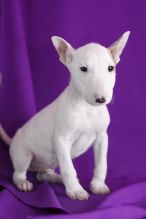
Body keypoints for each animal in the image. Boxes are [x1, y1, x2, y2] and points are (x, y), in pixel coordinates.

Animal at [0, 31, 130, 200]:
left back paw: (56, 177)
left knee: (42, 175)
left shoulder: (102, 138)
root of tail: (13, 140)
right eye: (83, 69)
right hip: (23, 154)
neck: (87, 108)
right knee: (18, 173)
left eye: (110, 68)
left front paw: (98, 186)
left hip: (46, 164)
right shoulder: (62, 140)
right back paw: (23, 183)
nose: (101, 99)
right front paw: (75, 190)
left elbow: (101, 164)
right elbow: (69, 168)